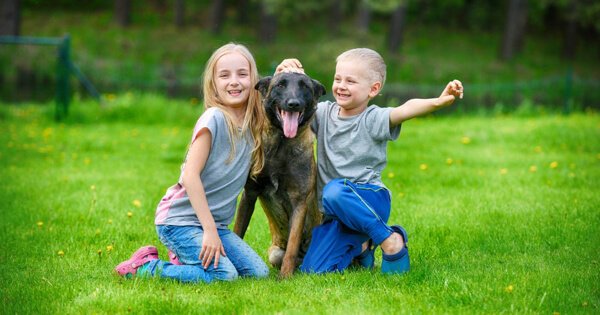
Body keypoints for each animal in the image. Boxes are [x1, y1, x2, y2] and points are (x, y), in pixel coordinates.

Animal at [234, 72, 326, 278]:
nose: (293, 104)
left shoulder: (299, 202)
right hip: (275, 253)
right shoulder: (249, 195)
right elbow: (237, 232)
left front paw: (284, 277)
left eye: (304, 86)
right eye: (280, 85)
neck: (281, 144)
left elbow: (292, 246)